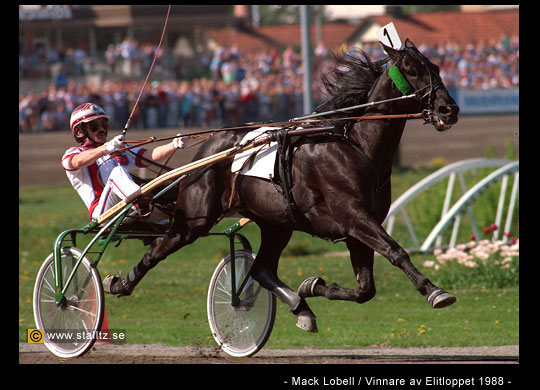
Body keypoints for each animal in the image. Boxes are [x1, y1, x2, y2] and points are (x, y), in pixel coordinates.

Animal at [106, 39, 460, 332]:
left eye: (436, 67)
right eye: (412, 69)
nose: (449, 109)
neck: (355, 145)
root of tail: (208, 150)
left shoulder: (357, 225)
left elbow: (365, 290)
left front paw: (312, 286)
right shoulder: (354, 216)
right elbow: (395, 251)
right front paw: (435, 291)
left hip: (277, 223)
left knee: (262, 269)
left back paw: (301, 307)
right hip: (196, 217)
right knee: (160, 247)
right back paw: (120, 283)